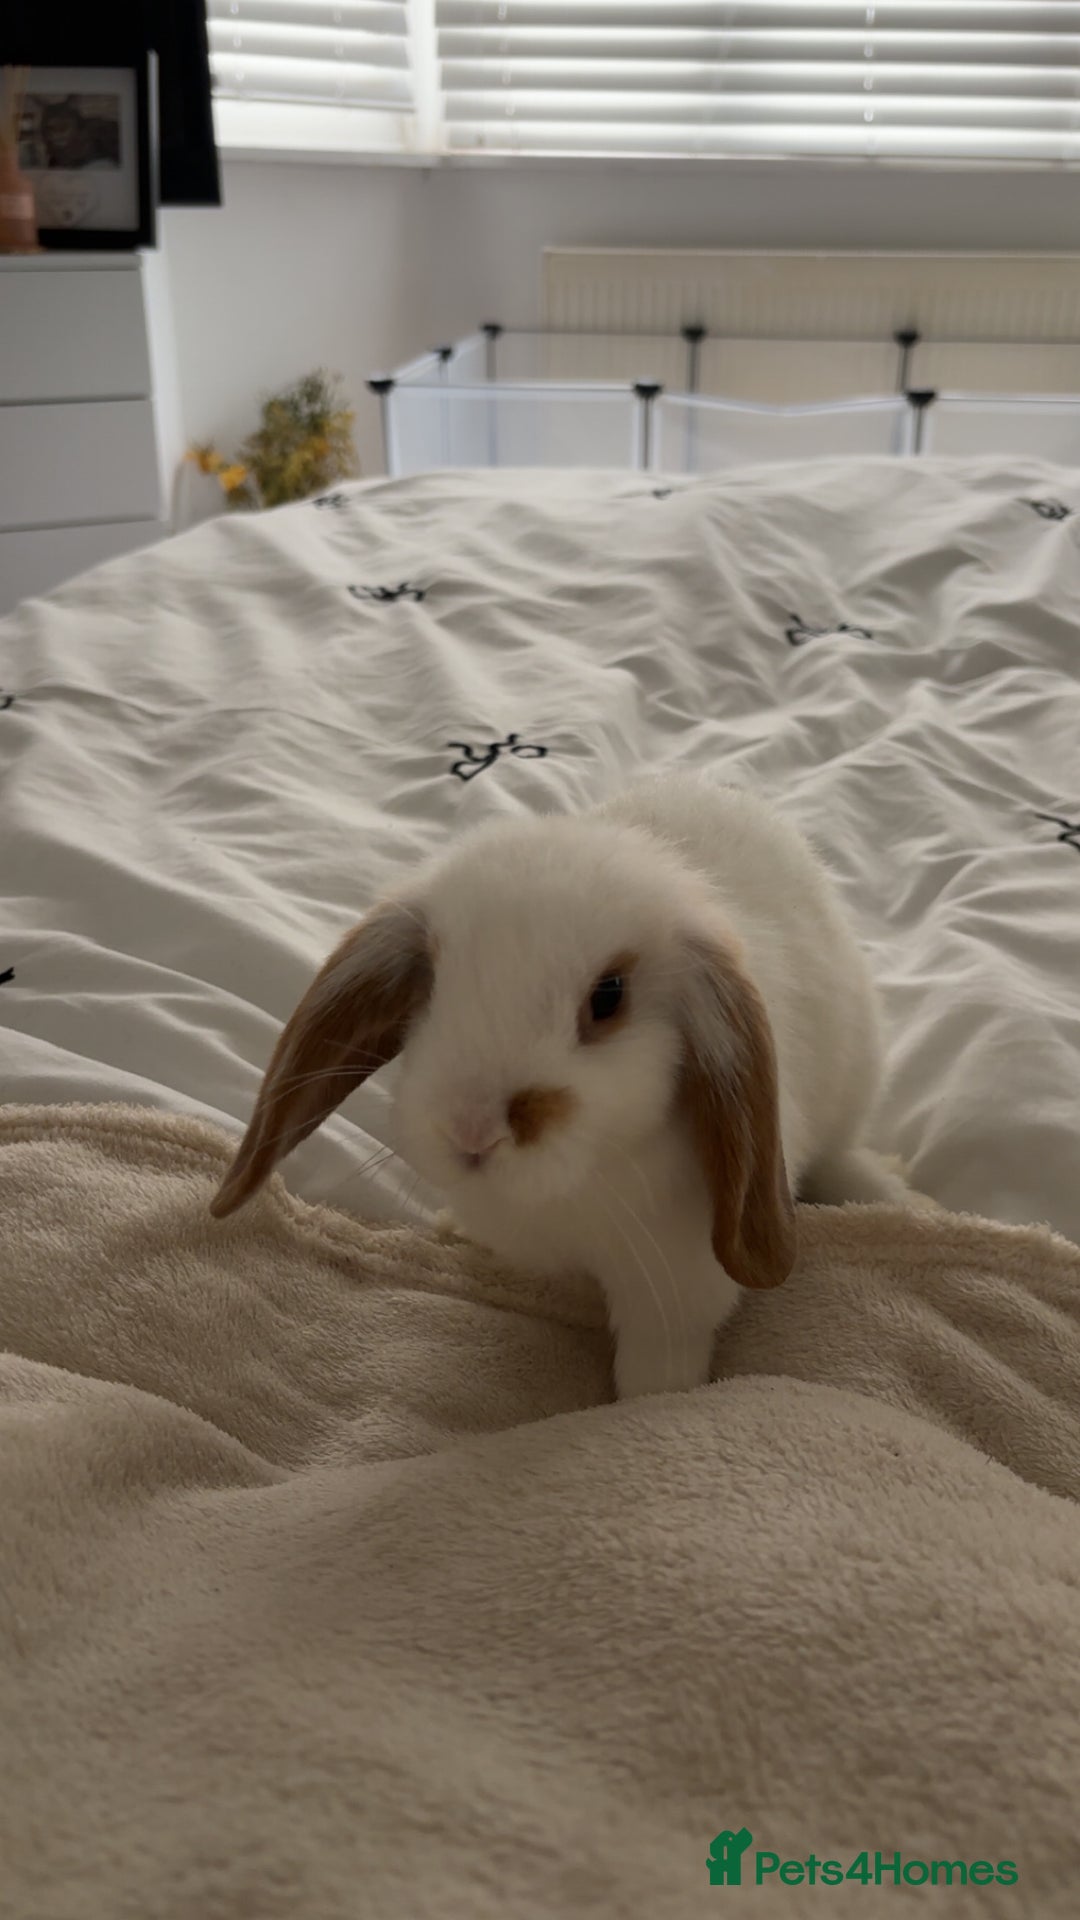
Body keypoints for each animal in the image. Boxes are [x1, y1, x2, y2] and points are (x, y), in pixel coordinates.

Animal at [211, 772, 909, 1400]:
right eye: (429, 983)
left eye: (608, 997)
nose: (471, 1132)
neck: (561, 1196)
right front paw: (455, 1234)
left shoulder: (674, 1293)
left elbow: (656, 1375)